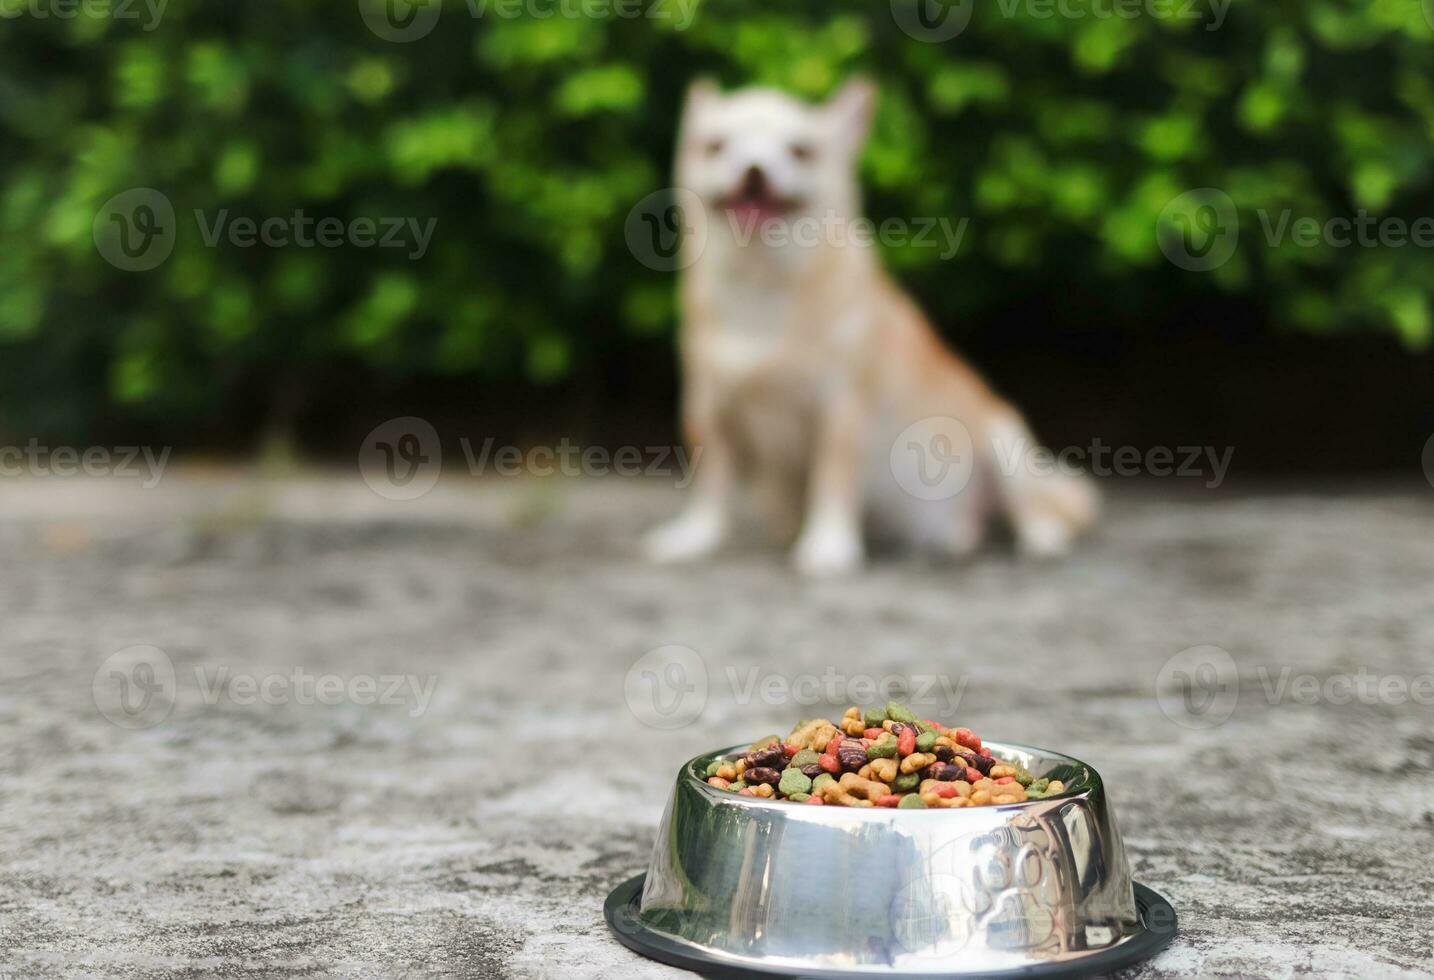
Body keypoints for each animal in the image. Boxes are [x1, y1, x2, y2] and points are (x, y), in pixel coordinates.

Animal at [645, 82, 1089, 573]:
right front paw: (696, 536)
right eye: (716, 146)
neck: (762, 283)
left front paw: (828, 545)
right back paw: (956, 538)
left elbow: (832, 478)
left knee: (1034, 505)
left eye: (801, 151)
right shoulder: (707, 405)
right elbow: (710, 482)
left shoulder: (840, 407)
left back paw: (1042, 538)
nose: (755, 170)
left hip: (1003, 440)